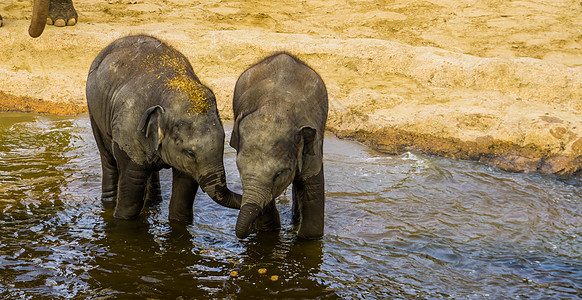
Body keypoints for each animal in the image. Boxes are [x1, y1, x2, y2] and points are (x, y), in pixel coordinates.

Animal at [85, 35, 241, 223]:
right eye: (190, 153)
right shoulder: (129, 129)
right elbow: (131, 192)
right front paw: (121, 220)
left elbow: (183, 194)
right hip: (94, 112)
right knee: (107, 157)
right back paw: (108, 202)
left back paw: (154, 201)